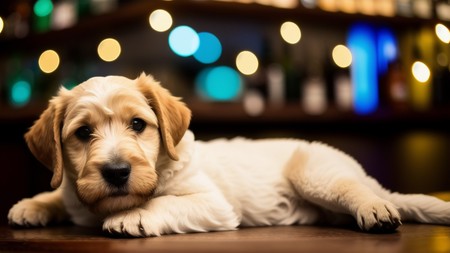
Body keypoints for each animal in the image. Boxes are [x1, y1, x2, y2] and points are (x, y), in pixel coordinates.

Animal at [7, 73, 450, 237]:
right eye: (83, 133)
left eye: (137, 124)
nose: (116, 172)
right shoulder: (73, 191)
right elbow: (59, 194)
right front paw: (32, 205)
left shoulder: (214, 205)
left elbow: (164, 202)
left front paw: (132, 216)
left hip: (317, 173)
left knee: (358, 192)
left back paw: (374, 209)